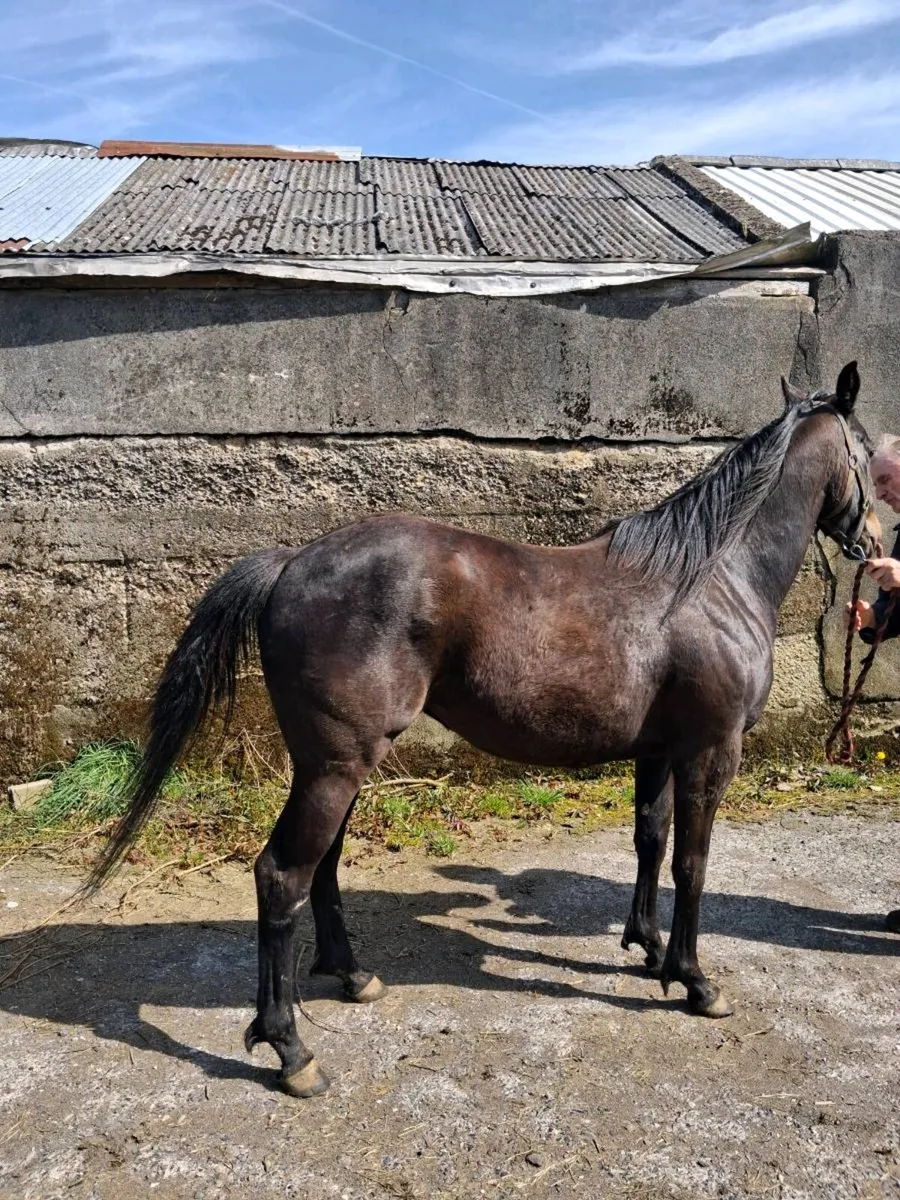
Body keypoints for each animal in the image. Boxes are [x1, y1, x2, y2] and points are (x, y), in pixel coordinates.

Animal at [85, 362, 880, 1098]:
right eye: (870, 451)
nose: (872, 543)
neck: (711, 577)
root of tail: (290, 564)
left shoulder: (657, 753)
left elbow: (650, 844)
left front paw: (648, 949)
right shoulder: (711, 753)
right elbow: (693, 863)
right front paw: (694, 980)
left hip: (335, 765)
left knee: (325, 866)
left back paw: (353, 975)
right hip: (336, 767)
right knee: (283, 876)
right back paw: (290, 1051)